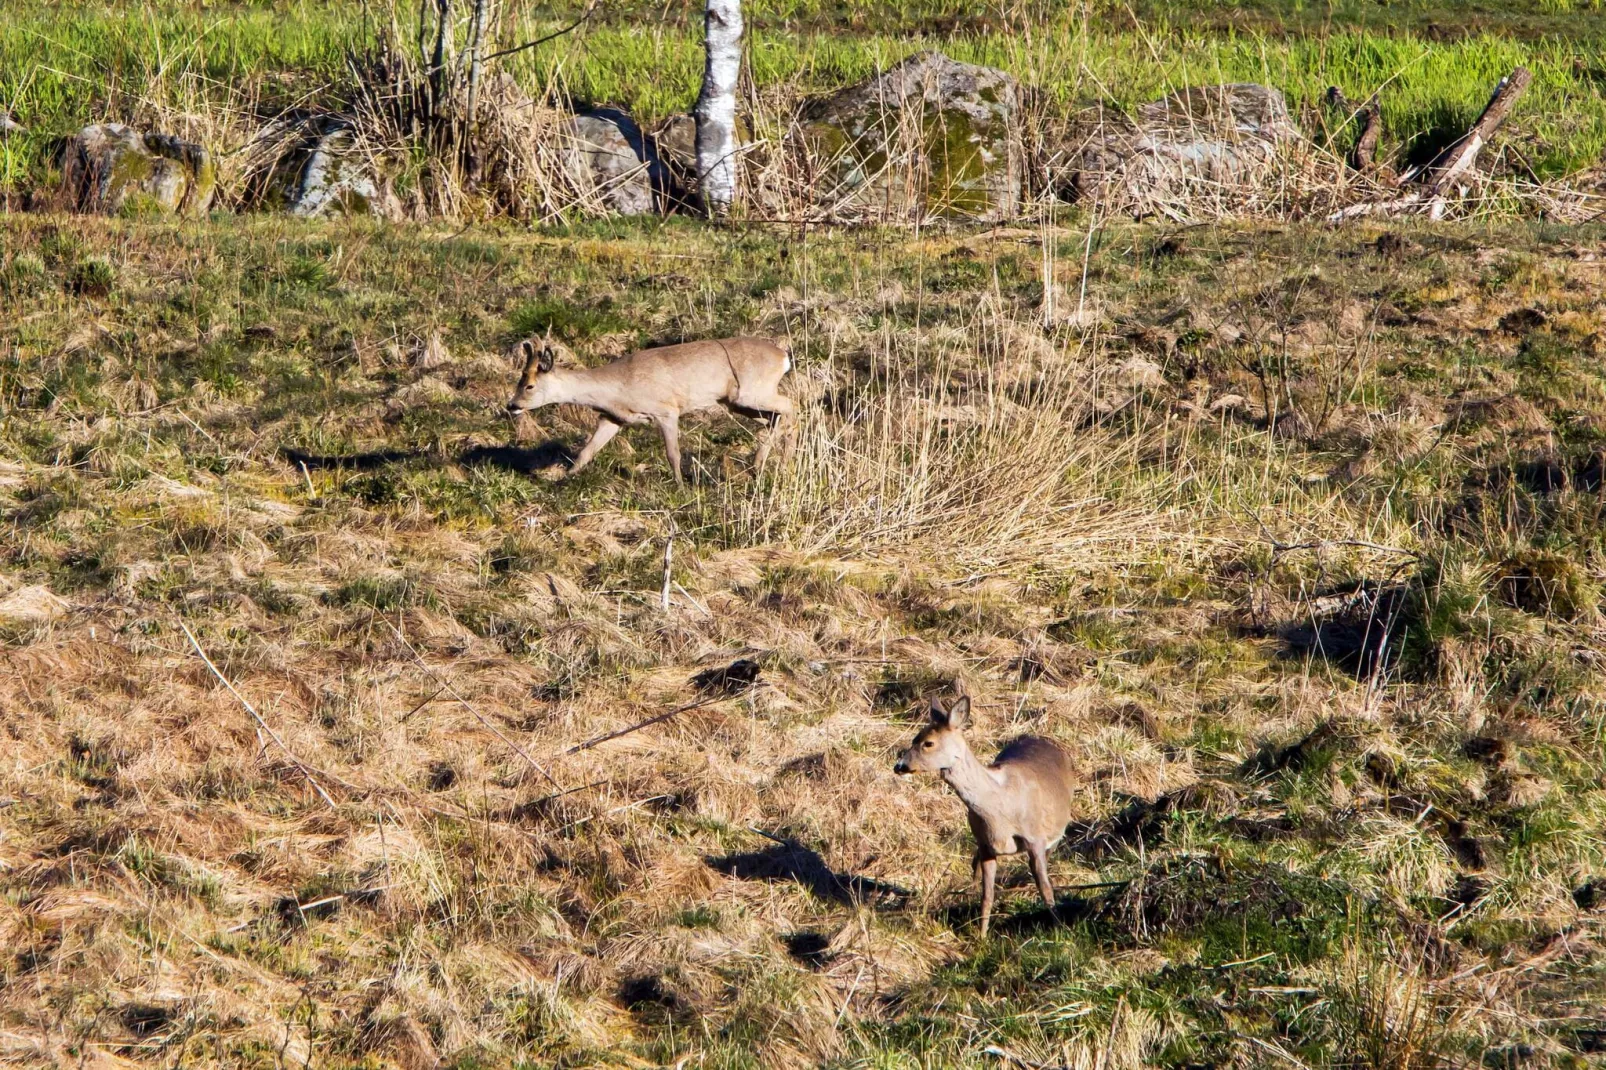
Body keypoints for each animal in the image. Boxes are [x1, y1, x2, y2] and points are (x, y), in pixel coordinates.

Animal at [504, 334, 793, 481]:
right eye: (519, 380)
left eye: (529, 386)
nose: (512, 405)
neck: (619, 386)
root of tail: (783, 357)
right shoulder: (613, 418)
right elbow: (587, 450)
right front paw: (565, 479)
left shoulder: (666, 410)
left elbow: (673, 454)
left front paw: (680, 485)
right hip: (738, 403)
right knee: (777, 417)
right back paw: (761, 463)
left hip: (751, 392)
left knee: (791, 405)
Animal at [892, 690, 1079, 931]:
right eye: (915, 738)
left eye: (928, 743)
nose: (899, 766)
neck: (1000, 809)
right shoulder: (985, 844)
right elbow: (987, 895)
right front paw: (981, 934)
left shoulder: (1035, 838)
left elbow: (1045, 888)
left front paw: (1057, 926)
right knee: (975, 865)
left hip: (1056, 830)